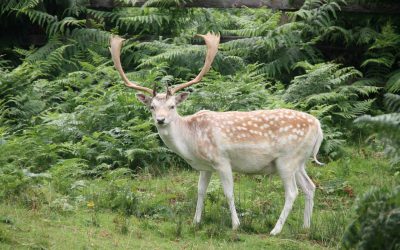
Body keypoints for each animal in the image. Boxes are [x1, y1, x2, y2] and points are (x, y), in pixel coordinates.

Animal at [110, 32, 324, 235]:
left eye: (172, 106)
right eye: (152, 107)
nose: (161, 120)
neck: (191, 141)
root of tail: (319, 127)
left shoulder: (222, 160)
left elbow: (228, 192)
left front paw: (236, 225)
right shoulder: (205, 167)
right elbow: (200, 191)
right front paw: (195, 222)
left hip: (287, 159)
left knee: (292, 192)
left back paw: (275, 230)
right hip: (299, 161)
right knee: (310, 187)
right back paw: (306, 227)